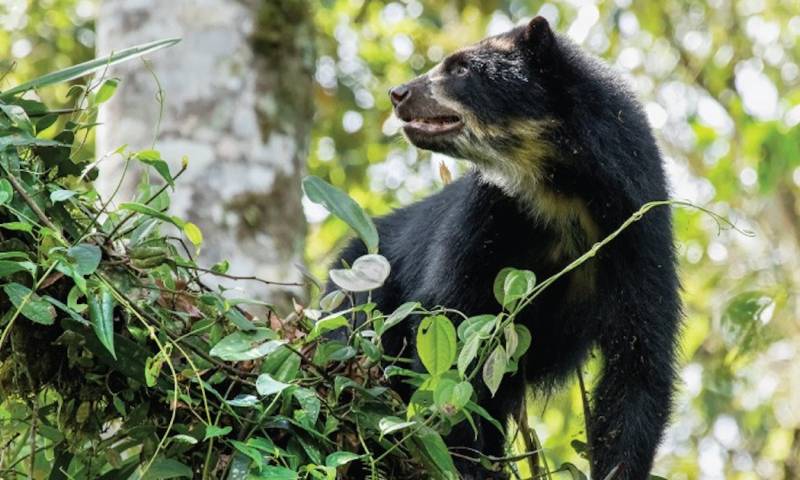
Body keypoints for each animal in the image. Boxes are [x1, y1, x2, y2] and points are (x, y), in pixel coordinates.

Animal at [332, 15, 680, 480]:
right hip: (360, 293)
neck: (561, 193)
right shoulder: (486, 218)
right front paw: (464, 460)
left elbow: (639, 364)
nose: (398, 93)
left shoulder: (637, 232)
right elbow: (451, 328)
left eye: (460, 68)